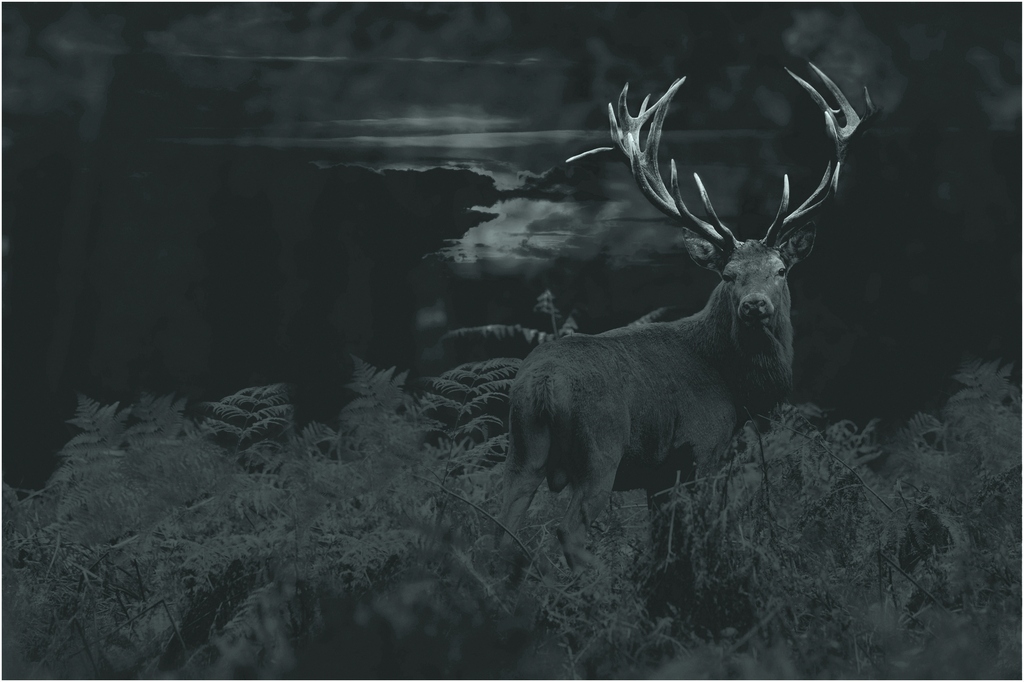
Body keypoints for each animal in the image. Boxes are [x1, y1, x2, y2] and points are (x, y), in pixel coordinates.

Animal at [495, 64, 875, 572]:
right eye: (729, 275)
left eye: (780, 270)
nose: (755, 305)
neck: (737, 390)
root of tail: (540, 386)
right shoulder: (702, 446)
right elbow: (699, 532)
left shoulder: (660, 473)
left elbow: (665, 541)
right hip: (600, 448)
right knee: (568, 530)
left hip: (521, 447)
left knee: (499, 529)